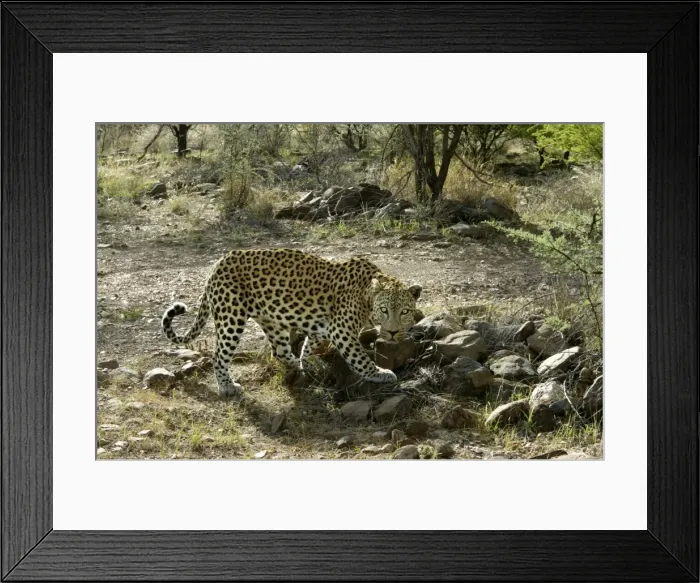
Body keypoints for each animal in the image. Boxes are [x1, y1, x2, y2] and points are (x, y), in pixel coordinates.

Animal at [162, 248, 422, 397]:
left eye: (405, 311)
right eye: (384, 310)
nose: (392, 333)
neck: (367, 295)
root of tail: (215, 267)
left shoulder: (323, 328)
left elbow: (308, 345)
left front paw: (308, 362)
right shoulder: (342, 331)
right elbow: (360, 358)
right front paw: (380, 373)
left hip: (271, 320)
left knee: (279, 350)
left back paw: (300, 367)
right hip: (231, 316)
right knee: (219, 355)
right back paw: (227, 387)